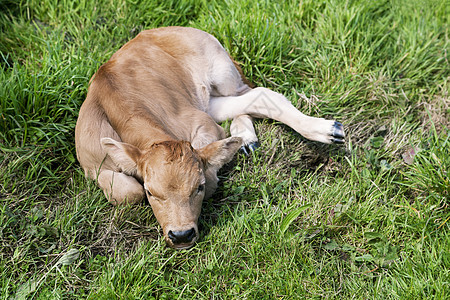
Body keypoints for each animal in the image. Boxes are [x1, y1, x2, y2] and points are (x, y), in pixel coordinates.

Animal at [76, 27, 344, 250]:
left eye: (199, 187)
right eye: (151, 192)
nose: (181, 235)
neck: (116, 98)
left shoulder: (202, 122)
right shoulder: (92, 166)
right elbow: (128, 192)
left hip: (221, 73)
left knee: (257, 93)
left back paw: (327, 130)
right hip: (210, 100)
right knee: (249, 100)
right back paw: (245, 136)